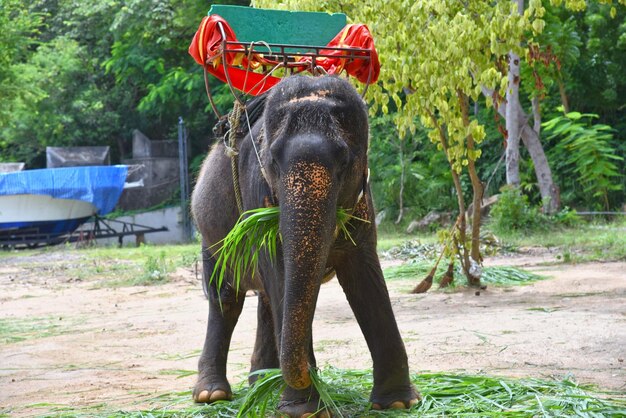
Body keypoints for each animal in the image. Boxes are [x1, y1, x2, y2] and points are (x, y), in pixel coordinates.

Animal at [189, 76, 414, 418]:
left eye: (345, 162)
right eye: (272, 162)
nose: (313, 370)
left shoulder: (363, 202)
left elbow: (364, 276)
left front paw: (398, 402)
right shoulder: (259, 195)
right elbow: (281, 273)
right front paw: (305, 409)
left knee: (266, 300)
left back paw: (261, 383)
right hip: (211, 236)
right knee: (227, 298)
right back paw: (211, 394)